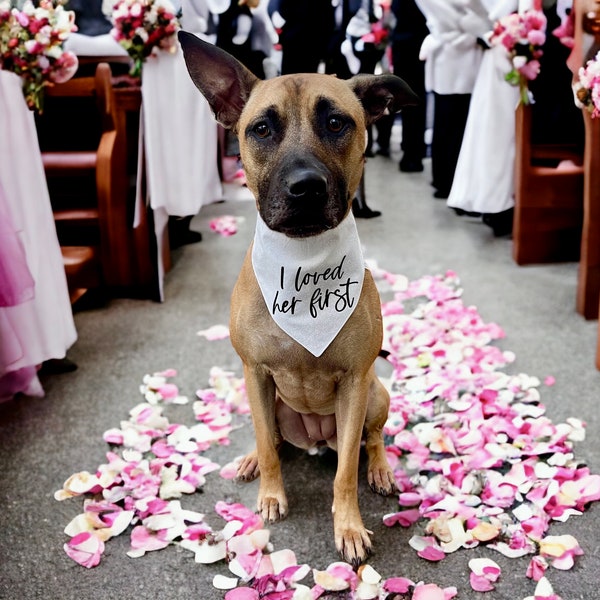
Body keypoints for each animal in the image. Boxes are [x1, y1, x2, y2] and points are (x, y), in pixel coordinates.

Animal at [178, 31, 418, 568]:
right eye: (262, 129)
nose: (305, 188)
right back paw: (252, 459)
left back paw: (381, 468)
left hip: (376, 394)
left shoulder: (355, 383)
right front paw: (271, 494)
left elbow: (345, 470)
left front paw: (348, 526)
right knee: (271, 438)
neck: (306, 262)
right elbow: (269, 447)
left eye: (337, 123)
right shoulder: (255, 372)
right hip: (264, 397)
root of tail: (313, 440)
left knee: (372, 438)